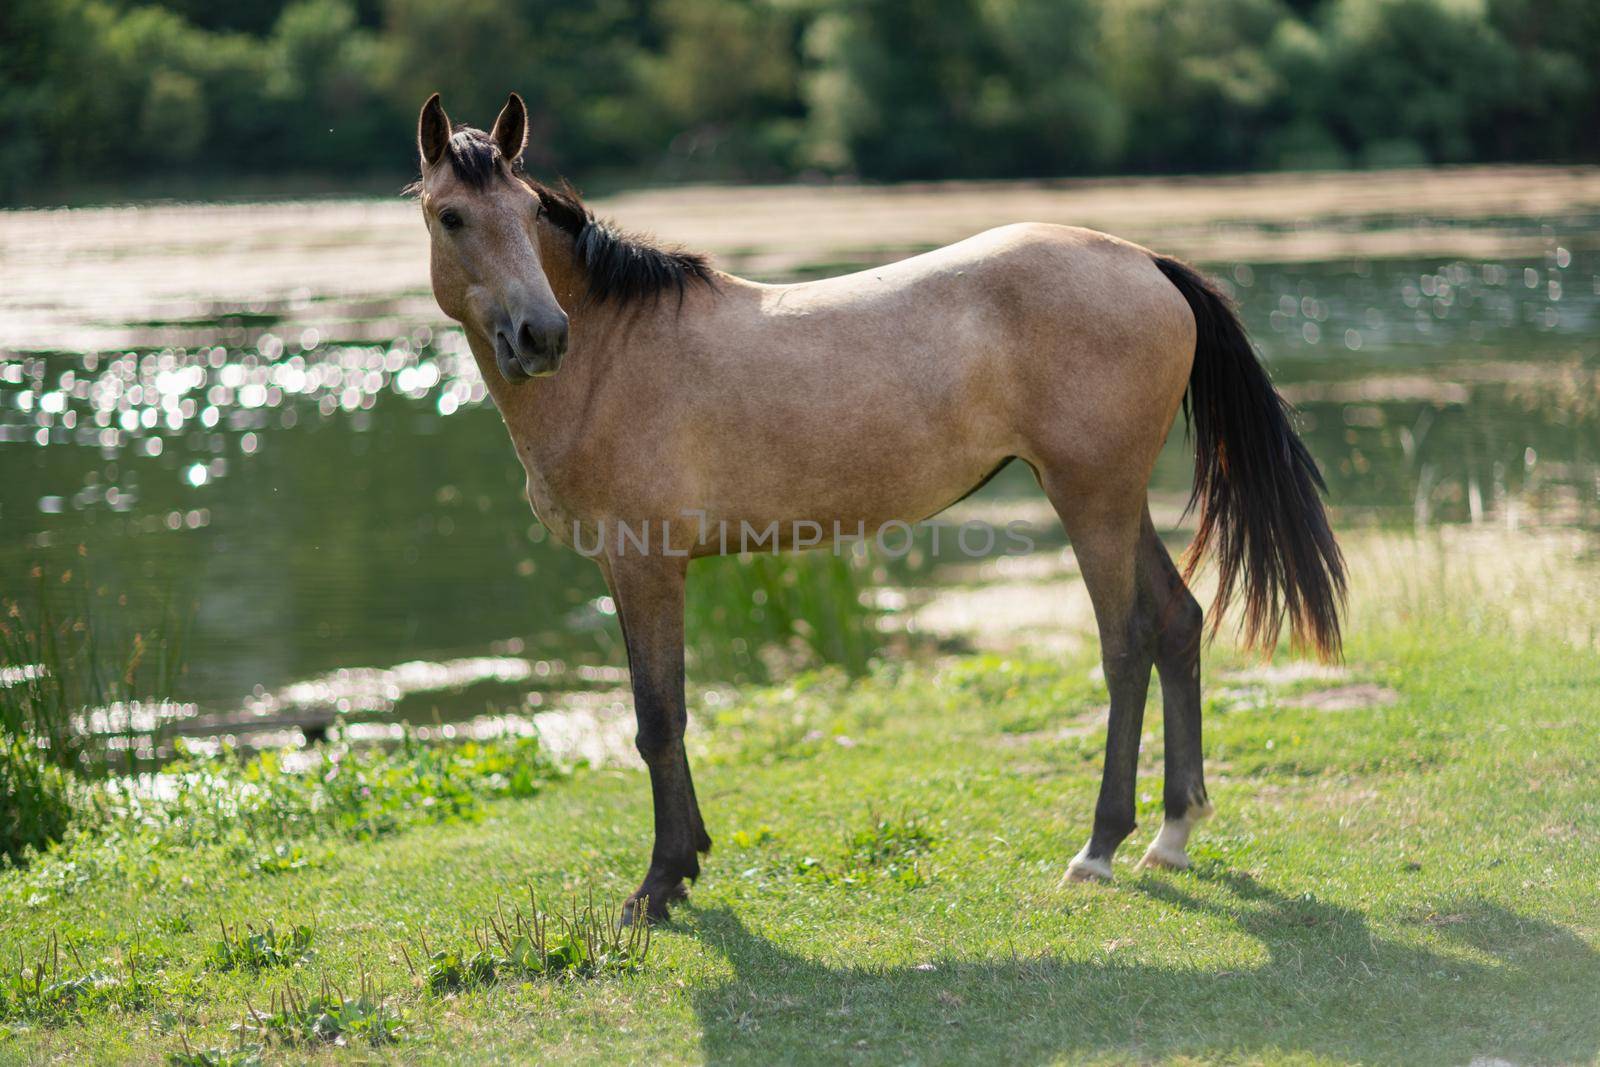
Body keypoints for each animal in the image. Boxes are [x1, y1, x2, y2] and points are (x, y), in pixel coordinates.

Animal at [412, 91, 1350, 921]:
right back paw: (1173, 832)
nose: (542, 336)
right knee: (1179, 622)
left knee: (1125, 646)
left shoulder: (644, 564)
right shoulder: (636, 568)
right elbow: (664, 715)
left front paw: (661, 882)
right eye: (451, 217)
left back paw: (1099, 847)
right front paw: (686, 863)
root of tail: (1145, 261)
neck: (615, 356)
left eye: (525, 209)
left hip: (1093, 500)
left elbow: (657, 719)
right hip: (1113, 499)